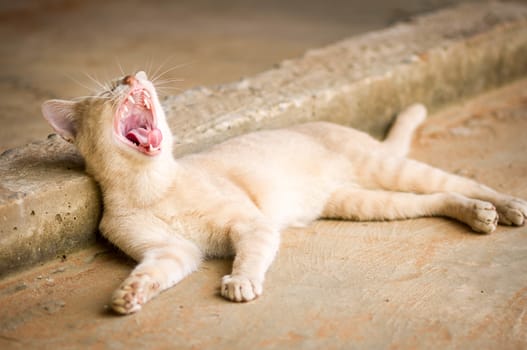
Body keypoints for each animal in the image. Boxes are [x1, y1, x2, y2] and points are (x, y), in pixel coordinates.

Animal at [42, 70, 527, 314]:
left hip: (391, 171)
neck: (152, 187)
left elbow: (249, 258)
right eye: (109, 89)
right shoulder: (171, 252)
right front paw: (130, 295)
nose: (131, 75)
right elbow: (153, 273)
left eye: (130, 80)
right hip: (367, 203)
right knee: (434, 201)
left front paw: (240, 282)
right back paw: (479, 215)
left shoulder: (250, 225)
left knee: (462, 182)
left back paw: (505, 207)